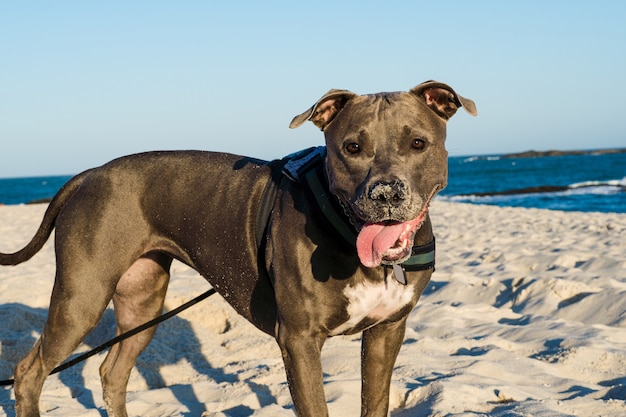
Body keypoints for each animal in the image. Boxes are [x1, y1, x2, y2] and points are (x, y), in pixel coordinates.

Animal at [2, 79, 476, 414]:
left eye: (418, 143)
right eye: (352, 148)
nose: (386, 194)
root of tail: (89, 173)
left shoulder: (385, 332)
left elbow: (373, 403)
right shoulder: (299, 342)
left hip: (143, 302)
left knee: (111, 371)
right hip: (82, 296)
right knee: (29, 372)